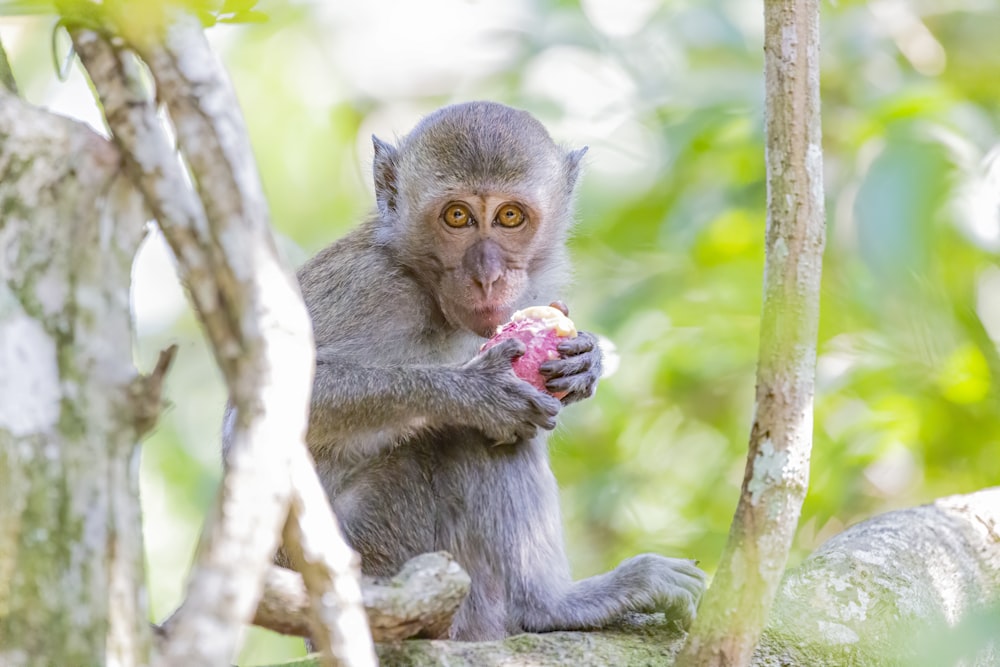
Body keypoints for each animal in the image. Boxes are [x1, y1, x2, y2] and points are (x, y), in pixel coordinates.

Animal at [231, 100, 708, 640]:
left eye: (509, 216)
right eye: (457, 216)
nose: (487, 275)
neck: (424, 285)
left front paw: (587, 361)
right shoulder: (371, 288)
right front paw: (477, 393)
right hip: (384, 554)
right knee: (471, 439)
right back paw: (550, 606)